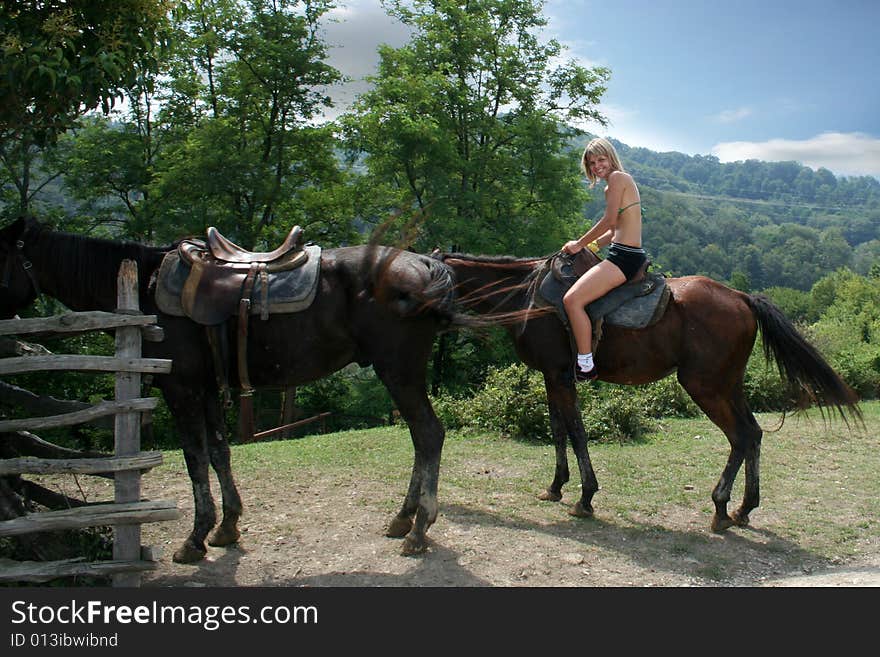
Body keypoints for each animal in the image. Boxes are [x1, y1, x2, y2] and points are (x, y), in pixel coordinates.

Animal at [0, 218, 482, 560]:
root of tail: (426, 265)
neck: (146, 290)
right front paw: (227, 527)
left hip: (398, 371)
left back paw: (418, 530)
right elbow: (219, 452)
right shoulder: (210, 388)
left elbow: (194, 458)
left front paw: (195, 538)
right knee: (421, 438)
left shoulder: (181, 388)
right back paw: (403, 520)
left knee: (428, 434)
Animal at [440, 251, 860, 532]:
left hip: (705, 386)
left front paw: (585, 497)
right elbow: (558, 431)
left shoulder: (560, 376)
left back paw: (720, 508)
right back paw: (744, 509)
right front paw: (556, 487)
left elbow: (576, 432)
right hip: (728, 384)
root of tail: (742, 298)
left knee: (740, 436)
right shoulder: (551, 376)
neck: (526, 297)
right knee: (753, 434)